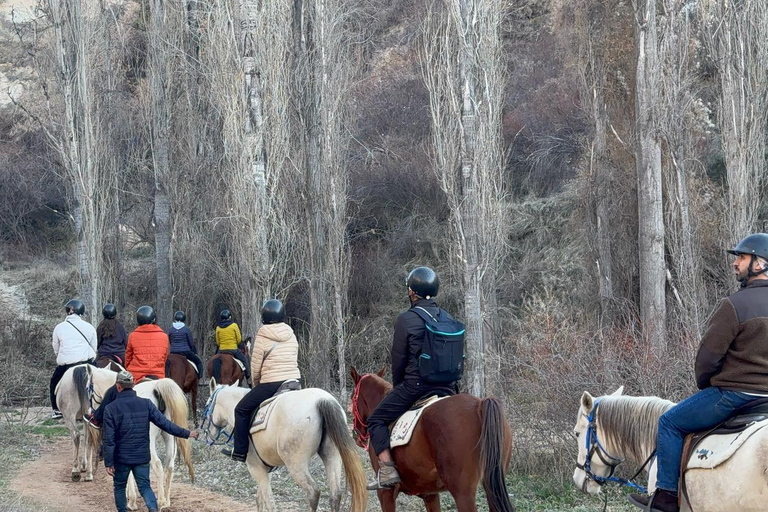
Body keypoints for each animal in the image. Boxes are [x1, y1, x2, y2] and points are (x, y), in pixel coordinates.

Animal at [201, 379, 367, 512]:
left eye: (207, 404)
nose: (206, 434)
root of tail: (322, 400)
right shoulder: (266, 470)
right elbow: (260, 499)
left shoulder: (256, 469)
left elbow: (269, 502)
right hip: (332, 456)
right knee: (335, 494)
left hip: (296, 465)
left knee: (313, 492)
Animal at [350, 367, 515, 512]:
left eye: (352, 398)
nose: (357, 436)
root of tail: (479, 405)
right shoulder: (430, 495)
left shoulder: (386, 493)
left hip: (463, 493)